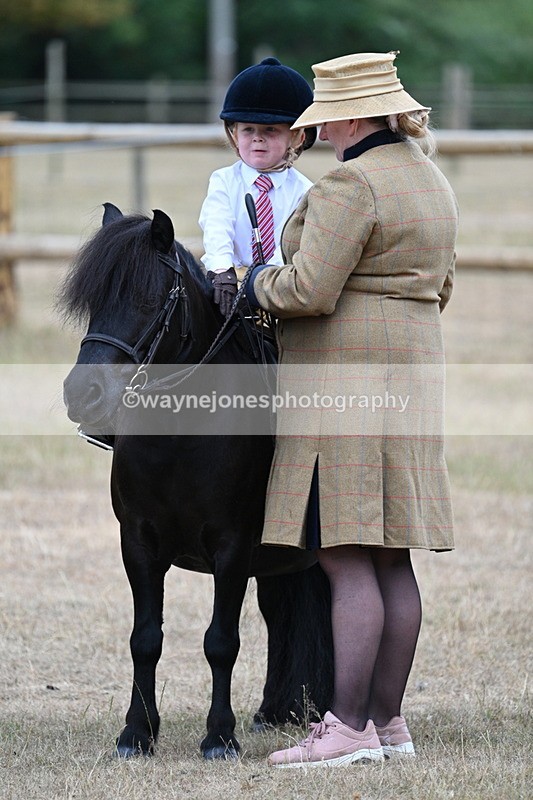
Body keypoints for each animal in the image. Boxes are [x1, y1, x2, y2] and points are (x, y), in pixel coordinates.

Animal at [59, 203, 332, 760]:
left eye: (147, 298)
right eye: (93, 301)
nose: (82, 395)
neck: (181, 440)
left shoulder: (233, 548)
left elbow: (220, 642)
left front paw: (219, 736)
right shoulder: (138, 544)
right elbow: (145, 638)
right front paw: (136, 732)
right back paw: (279, 710)